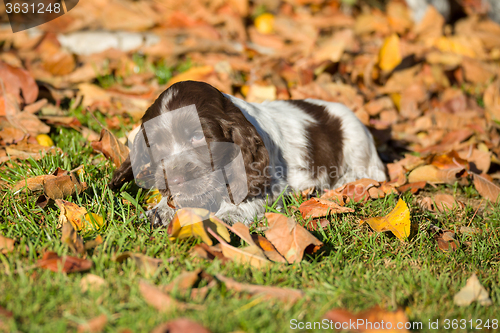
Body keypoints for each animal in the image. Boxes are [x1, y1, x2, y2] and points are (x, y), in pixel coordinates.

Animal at [110, 80, 386, 226]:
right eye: (155, 144)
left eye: (198, 136)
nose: (175, 180)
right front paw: (160, 211)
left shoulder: (269, 184)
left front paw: (223, 218)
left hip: (358, 144)